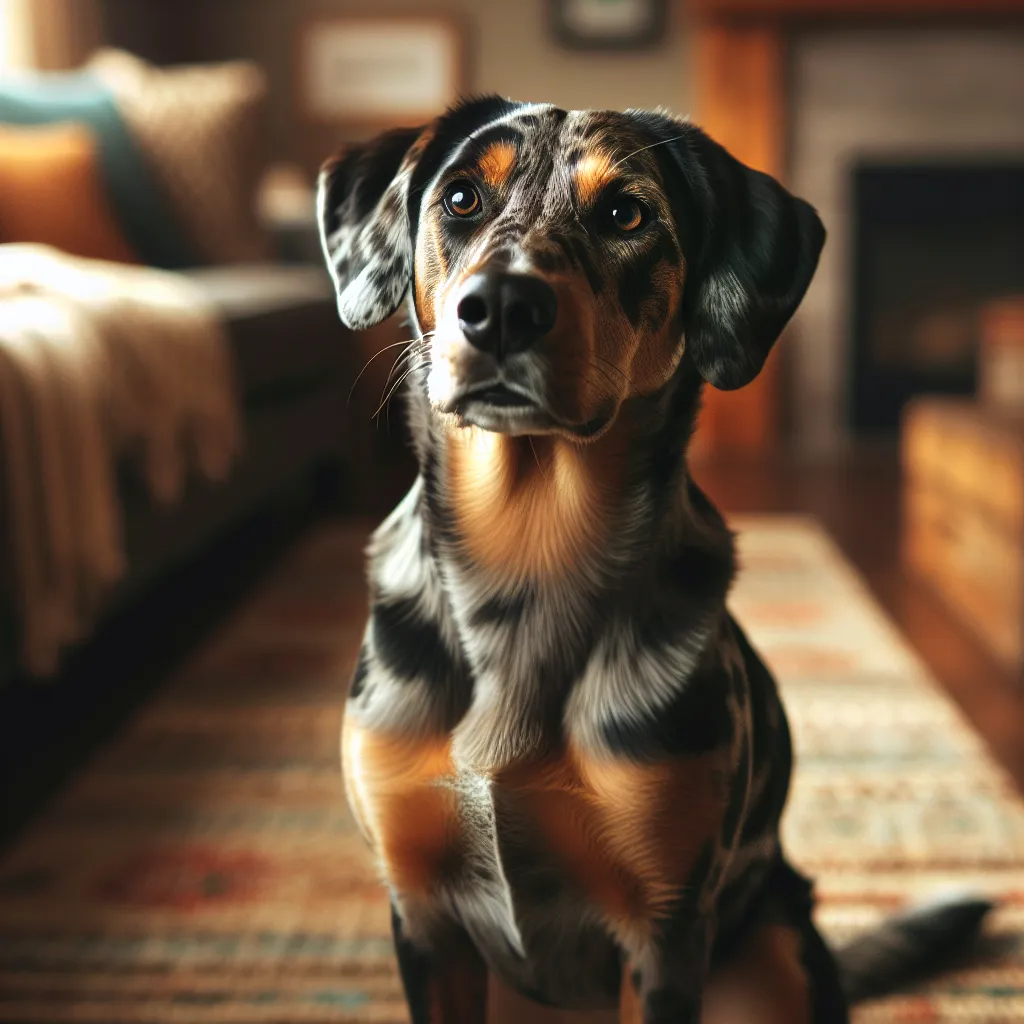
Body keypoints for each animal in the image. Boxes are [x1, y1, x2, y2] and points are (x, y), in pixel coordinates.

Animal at [317, 97, 991, 1024]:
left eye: (625, 215)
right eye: (460, 198)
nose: (502, 306)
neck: (527, 553)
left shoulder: (663, 928)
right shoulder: (422, 916)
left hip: (776, 947)